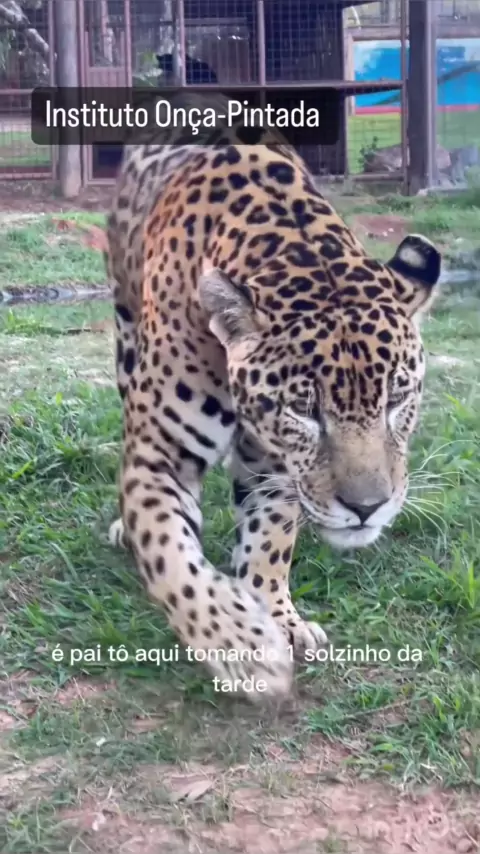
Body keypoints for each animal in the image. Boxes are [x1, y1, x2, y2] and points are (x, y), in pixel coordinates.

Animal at [105, 93, 441, 702]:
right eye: (305, 411)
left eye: (397, 398)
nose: (367, 508)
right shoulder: (161, 453)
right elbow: (171, 554)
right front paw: (241, 645)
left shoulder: (277, 466)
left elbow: (269, 540)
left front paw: (276, 616)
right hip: (124, 331)